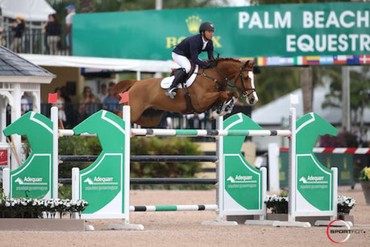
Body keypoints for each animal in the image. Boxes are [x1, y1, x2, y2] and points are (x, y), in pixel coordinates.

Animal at [114, 58, 258, 127]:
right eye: (246, 78)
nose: (253, 99)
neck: (213, 76)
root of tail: (136, 83)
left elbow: (231, 95)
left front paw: (220, 111)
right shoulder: (201, 102)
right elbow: (225, 94)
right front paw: (220, 111)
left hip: (151, 118)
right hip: (134, 110)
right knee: (121, 114)